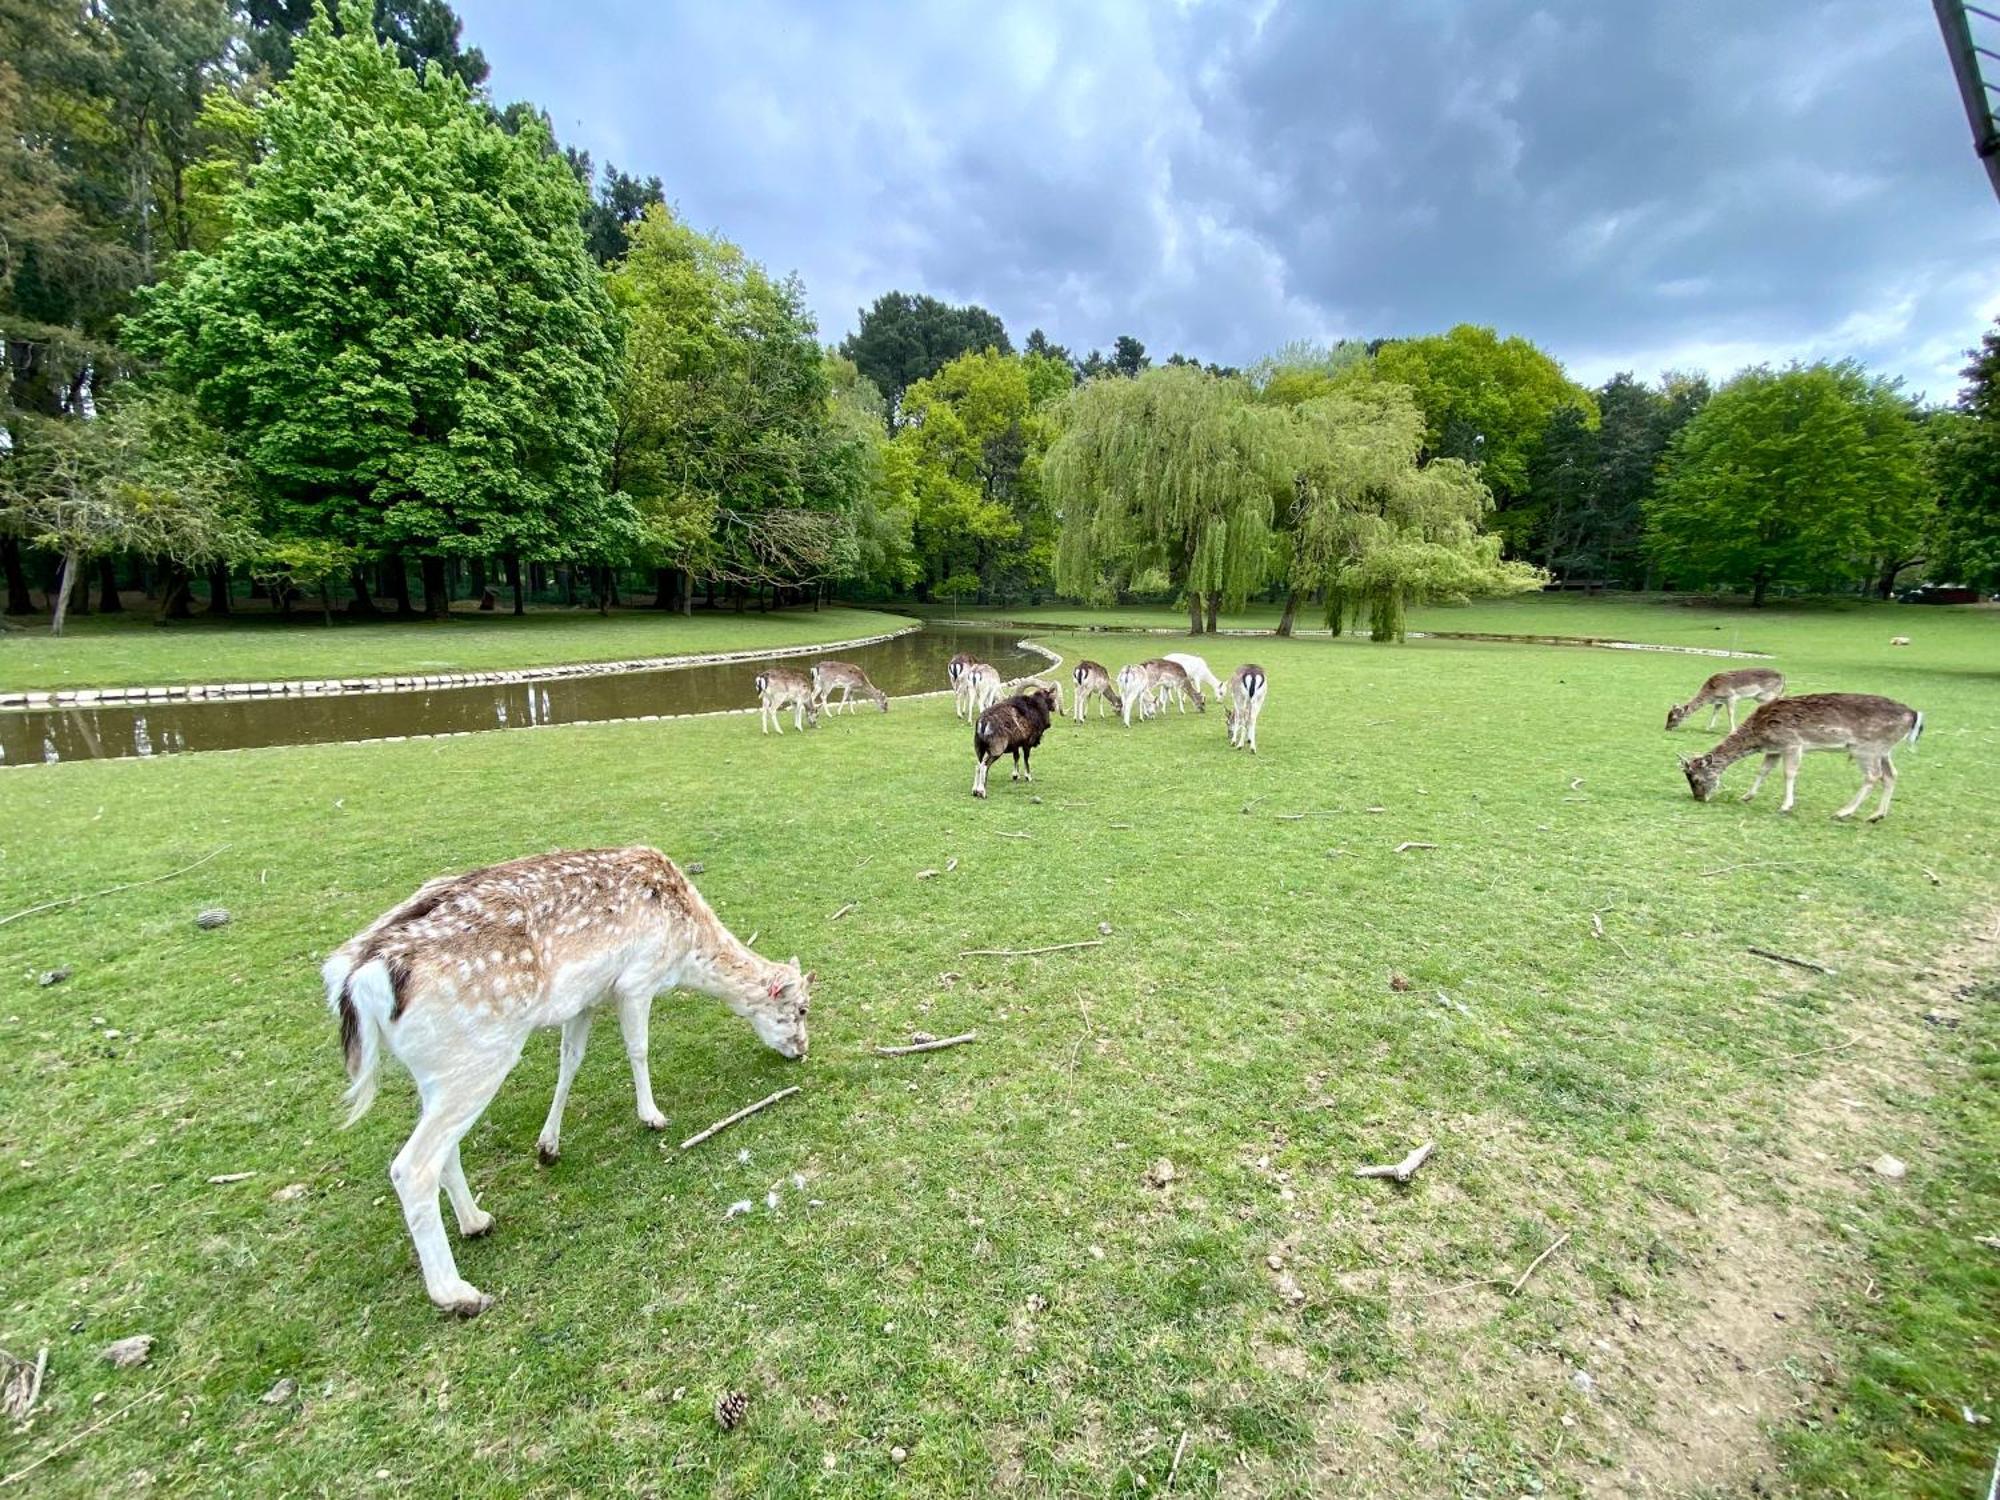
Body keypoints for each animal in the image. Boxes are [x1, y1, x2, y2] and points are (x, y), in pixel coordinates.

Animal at [324, 852, 808, 1320]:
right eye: (802, 1009)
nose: (802, 1050)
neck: (686, 948)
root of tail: (359, 980)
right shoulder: (636, 980)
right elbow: (638, 1049)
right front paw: (652, 1117)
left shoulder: (586, 999)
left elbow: (569, 1062)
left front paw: (548, 1145)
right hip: (480, 1057)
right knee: (412, 1166)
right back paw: (459, 1294)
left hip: (439, 1071)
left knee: (444, 1150)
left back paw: (477, 1221)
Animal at [1664, 672, 1792, 736]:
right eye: (1668, 715)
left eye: (1674, 718)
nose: (1667, 728)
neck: (1711, 694)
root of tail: (1783, 676)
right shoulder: (1719, 701)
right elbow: (1715, 712)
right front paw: (1708, 728)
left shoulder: (1731, 697)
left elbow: (1730, 713)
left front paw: (1732, 730)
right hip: (1761, 697)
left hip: (1768, 694)